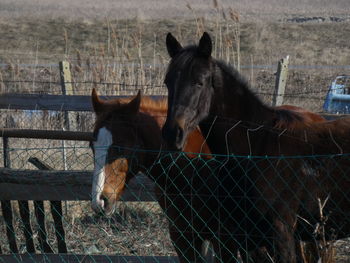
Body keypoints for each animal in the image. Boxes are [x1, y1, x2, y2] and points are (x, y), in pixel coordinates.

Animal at [162, 32, 350, 263]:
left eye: (200, 82)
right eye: (168, 82)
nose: (173, 134)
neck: (258, 145)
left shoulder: (281, 232)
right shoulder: (250, 238)